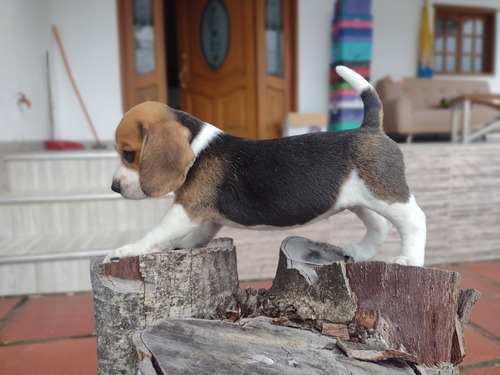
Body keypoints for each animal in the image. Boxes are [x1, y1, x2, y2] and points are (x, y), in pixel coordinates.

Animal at [104, 67, 426, 268]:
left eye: (129, 154)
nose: (114, 187)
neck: (197, 147)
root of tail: (370, 128)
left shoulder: (185, 211)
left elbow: (156, 234)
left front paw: (124, 251)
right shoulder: (206, 216)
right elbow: (197, 235)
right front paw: (181, 247)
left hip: (386, 194)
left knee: (414, 220)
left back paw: (409, 260)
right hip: (357, 199)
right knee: (379, 225)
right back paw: (361, 252)